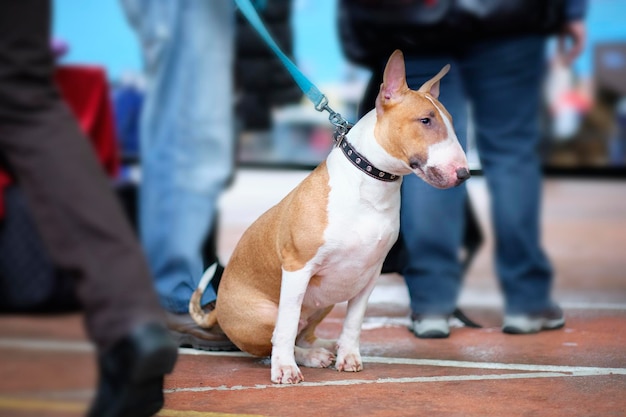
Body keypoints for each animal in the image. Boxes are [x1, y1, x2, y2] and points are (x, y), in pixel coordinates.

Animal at [190, 49, 468, 384]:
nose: (464, 173)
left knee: (304, 332)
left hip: (325, 300)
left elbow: (354, 322)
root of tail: (217, 309)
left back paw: (325, 346)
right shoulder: (297, 267)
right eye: (425, 120)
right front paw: (285, 369)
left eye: (451, 122)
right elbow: (285, 329)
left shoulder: (369, 275)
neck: (371, 181)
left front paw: (349, 356)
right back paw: (305, 357)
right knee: (277, 338)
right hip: (264, 313)